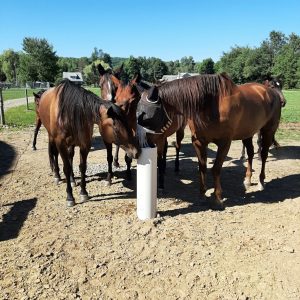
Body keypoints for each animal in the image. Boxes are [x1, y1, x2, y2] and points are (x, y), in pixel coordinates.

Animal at [37, 78, 141, 207]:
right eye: (116, 129)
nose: (136, 152)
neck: (69, 113)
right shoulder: (61, 144)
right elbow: (66, 168)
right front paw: (70, 197)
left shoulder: (84, 144)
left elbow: (82, 167)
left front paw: (83, 192)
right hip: (52, 137)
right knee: (55, 154)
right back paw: (57, 176)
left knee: (70, 157)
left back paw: (72, 180)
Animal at [137, 73, 282, 210]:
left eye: (147, 116)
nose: (144, 146)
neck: (211, 105)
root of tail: (271, 92)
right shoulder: (198, 142)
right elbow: (202, 168)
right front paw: (202, 195)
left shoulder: (225, 143)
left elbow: (216, 169)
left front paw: (217, 199)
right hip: (247, 132)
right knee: (250, 153)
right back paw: (247, 180)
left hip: (268, 131)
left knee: (264, 155)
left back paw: (261, 181)